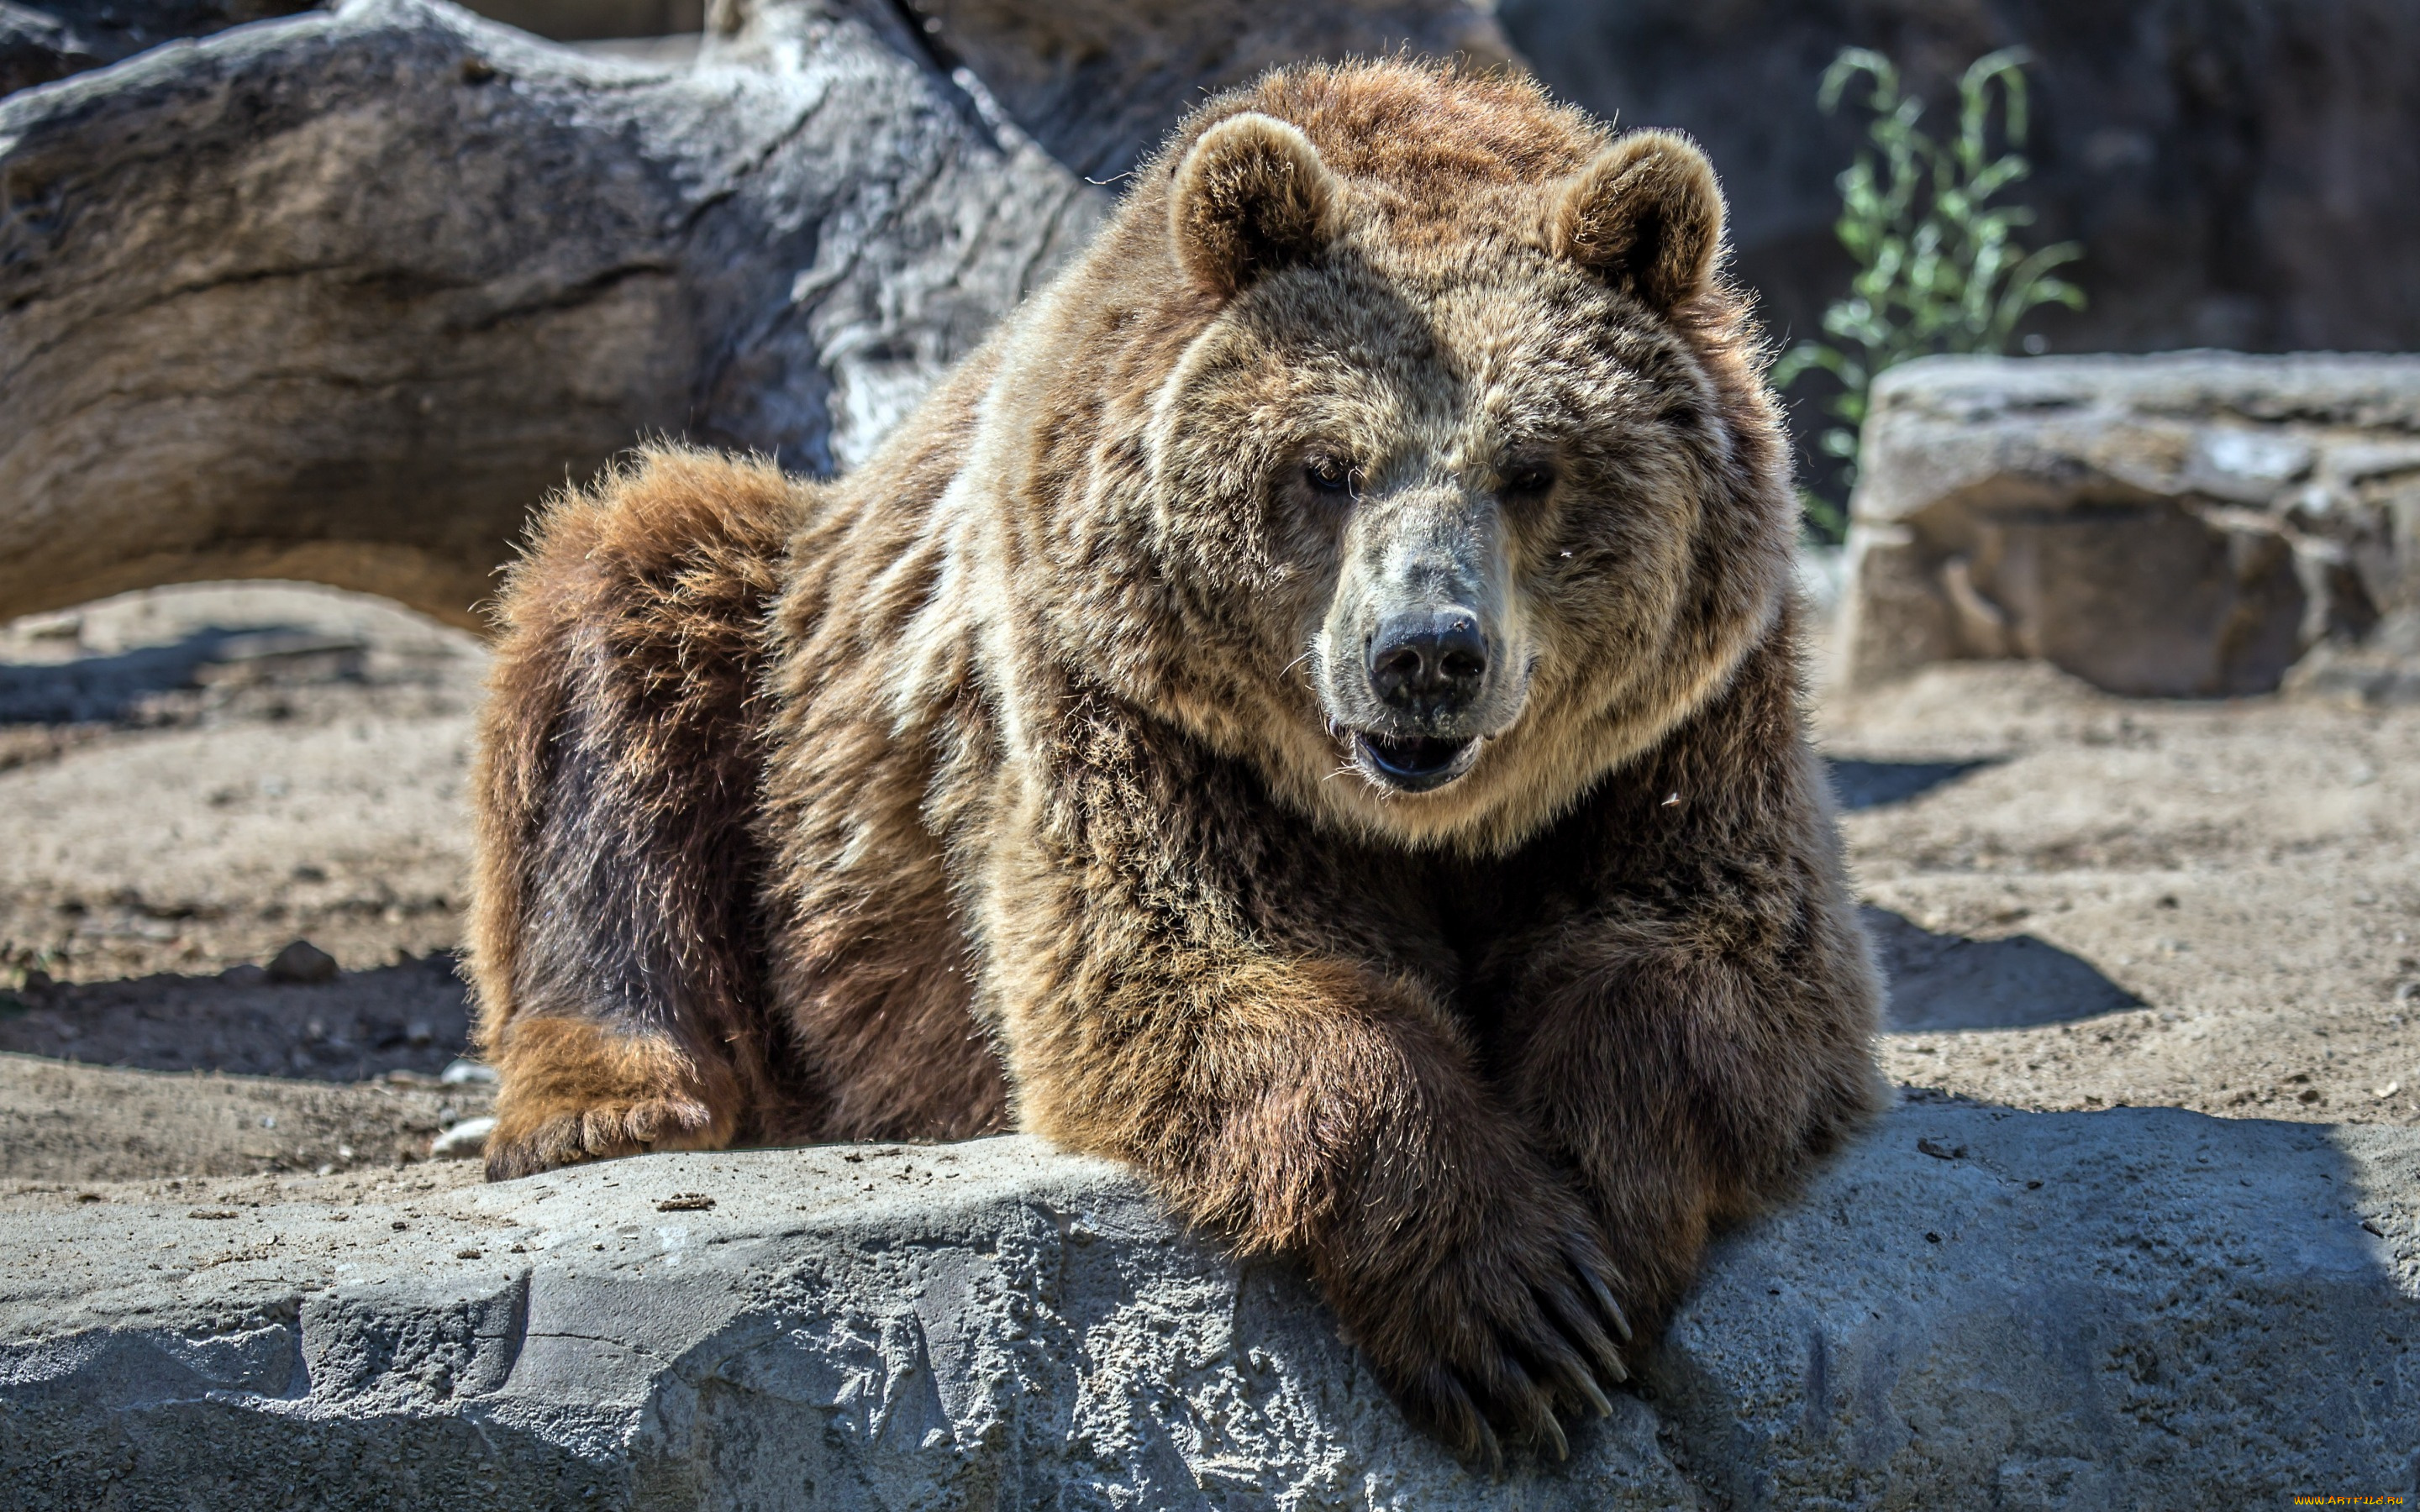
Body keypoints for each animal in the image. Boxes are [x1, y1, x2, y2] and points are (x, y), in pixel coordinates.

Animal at [466, 61, 1868, 1461]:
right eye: (1327, 466)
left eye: (1532, 467)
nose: (1424, 653)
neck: (1422, 820)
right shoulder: (1122, 704)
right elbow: (1183, 963)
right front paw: (1509, 1302)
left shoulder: (1691, 726)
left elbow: (1713, 952)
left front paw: (1593, 1224)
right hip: (780, 672)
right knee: (630, 602)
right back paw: (614, 1101)